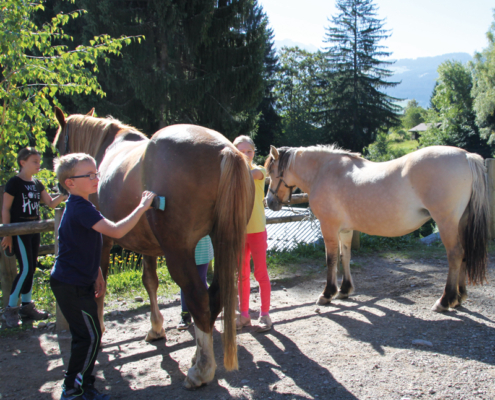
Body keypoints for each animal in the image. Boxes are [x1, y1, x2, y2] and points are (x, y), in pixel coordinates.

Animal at [54, 108, 256, 390]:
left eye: (57, 145)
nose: (58, 187)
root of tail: (225, 150)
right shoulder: (147, 246)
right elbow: (149, 281)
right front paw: (156, 328)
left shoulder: (103, 240)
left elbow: (100, 286)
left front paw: (101, 328)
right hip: (223, 241)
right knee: (214, 295)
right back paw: (197, 358)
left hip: (178, 252)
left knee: (198, 297)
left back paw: (201, 370)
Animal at [266, 144, 490, 312]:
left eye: (272, 172)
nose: (270, 202)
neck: (324, 171)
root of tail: (466, 156)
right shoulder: (345, 230)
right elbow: (345, 256)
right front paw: (345, 290)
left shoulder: (329, 227)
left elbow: (331, 259)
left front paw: (327, 293)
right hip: (460, 223)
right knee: (464, 254)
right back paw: (459, 297)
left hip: (446, 222)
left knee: (455, 255)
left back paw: (444, 301)